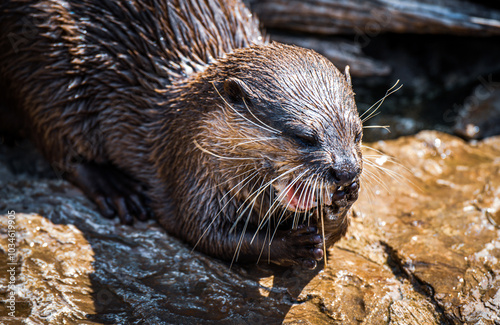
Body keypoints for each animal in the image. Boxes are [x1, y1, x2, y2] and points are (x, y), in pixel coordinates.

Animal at [0, 0, 362, 268]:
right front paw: (290, 245)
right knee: (58, 137)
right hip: (47, 55)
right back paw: (117, 189)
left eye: (357, 134)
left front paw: (341, 203)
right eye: (304, 137)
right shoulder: (188, 174)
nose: (346, 170)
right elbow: (205, 235)